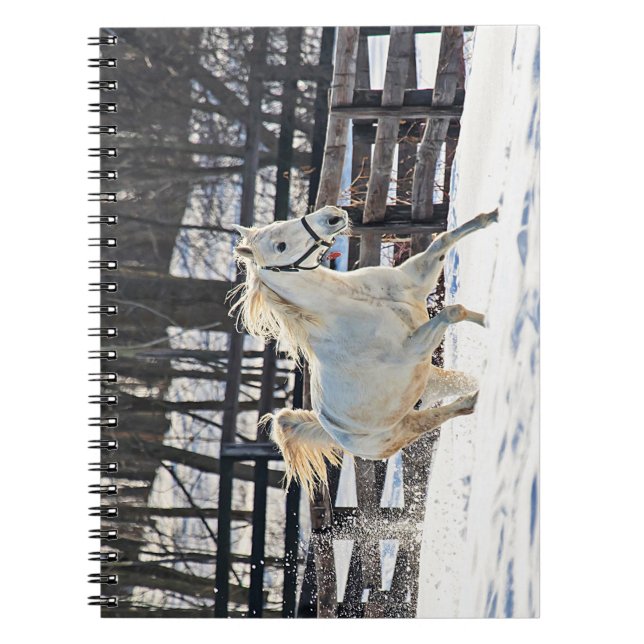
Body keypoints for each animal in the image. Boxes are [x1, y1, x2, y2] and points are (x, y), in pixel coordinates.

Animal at [229, 205, 498, 497]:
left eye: (281, 223)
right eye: (280, 246)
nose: (332, 216)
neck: (355, 300)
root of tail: (329, 430)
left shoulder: (416, 280)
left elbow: (445, 240)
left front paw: (494, 216)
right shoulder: (414, 348)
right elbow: (453, 311)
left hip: (430, 380)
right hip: (401, 429)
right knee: (449, 411)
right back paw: (477, 399)